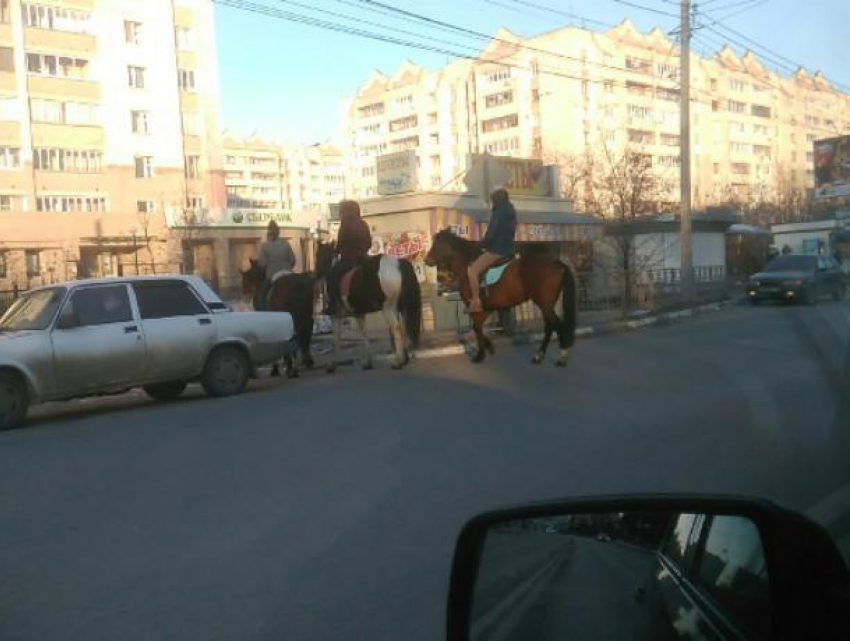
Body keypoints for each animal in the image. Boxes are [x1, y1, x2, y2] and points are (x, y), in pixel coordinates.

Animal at [424, 231, 576, 364]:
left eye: (437, 243)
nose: (426, 260)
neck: (467, 266)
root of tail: (557, 263)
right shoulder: (488, 308)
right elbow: (477, 327)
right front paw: (489, 347)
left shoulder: (476, 307)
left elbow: (477, 328)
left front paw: (480, 355)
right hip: (546, 304)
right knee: (550, 325)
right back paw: (539, 356)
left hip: (544, 304)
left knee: (556, 324)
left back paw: (562, 356)